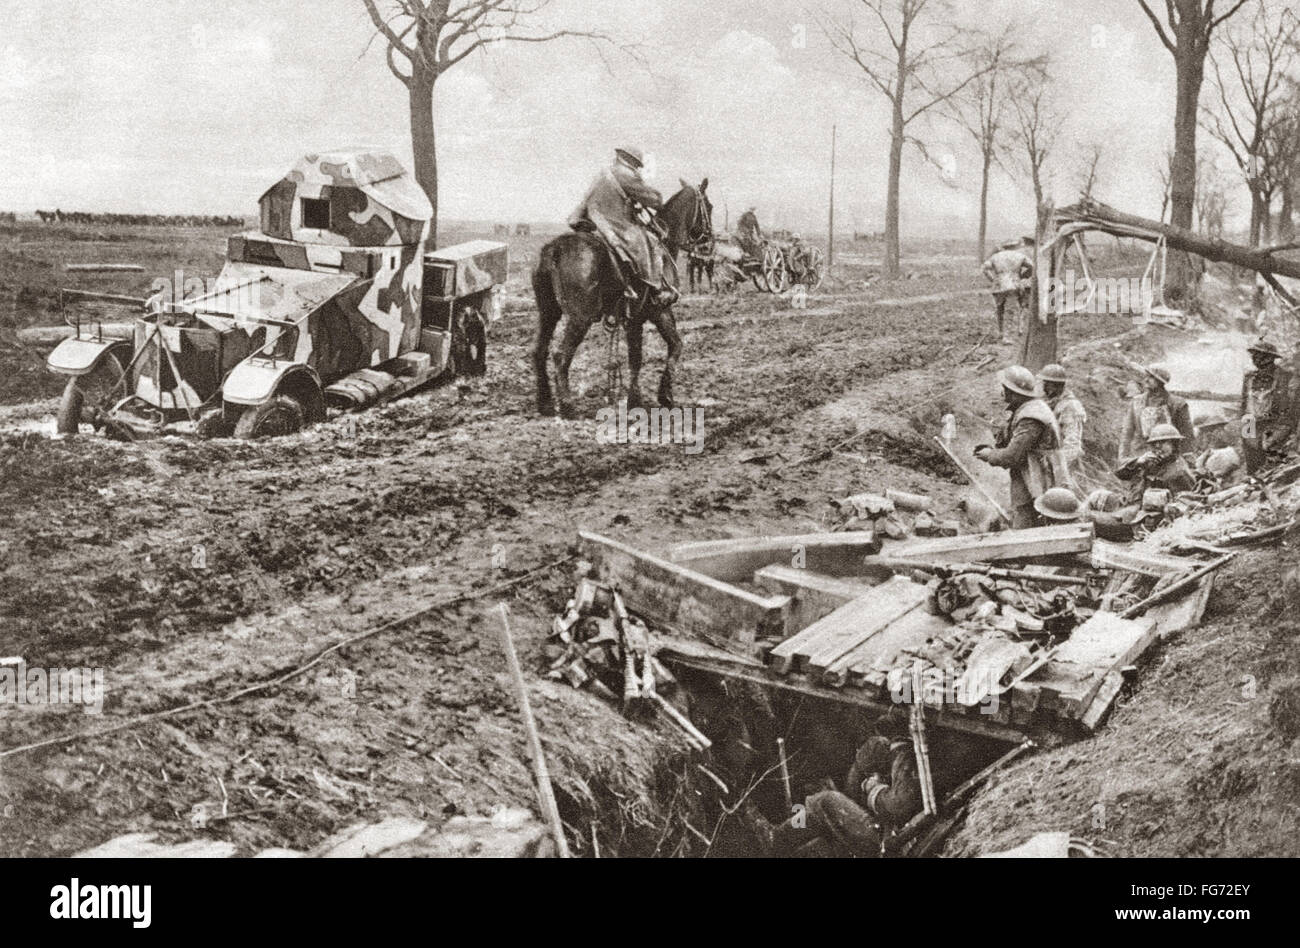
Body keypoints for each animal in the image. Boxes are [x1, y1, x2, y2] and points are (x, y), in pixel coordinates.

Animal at [527, 176, 712, 413]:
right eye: (709, 206)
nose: (709, 243)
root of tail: (554, 250)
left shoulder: (633, 319)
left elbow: (638, 356)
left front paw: (635, 399)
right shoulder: (659, 311)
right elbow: (671, 347)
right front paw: (664, 396)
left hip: (548, 313)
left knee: (539, 351)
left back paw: (545, 403)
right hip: (580, 318)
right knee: (561, 355)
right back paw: (567, 405)